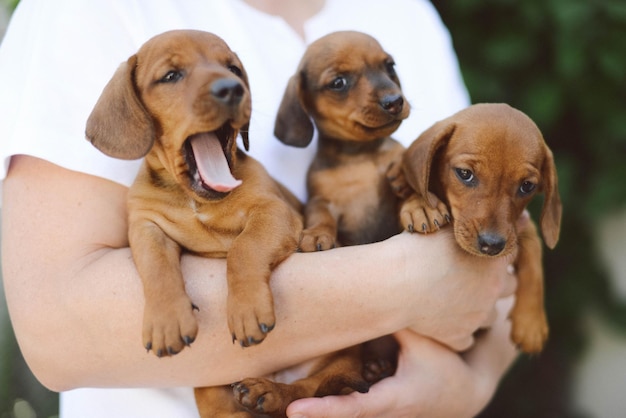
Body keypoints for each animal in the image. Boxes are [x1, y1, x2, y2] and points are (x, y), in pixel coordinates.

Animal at [84, 29, 302, 414]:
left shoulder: (275, 211)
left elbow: (244, 249)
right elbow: (156, 266)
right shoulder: (145, 226)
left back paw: (271, 392)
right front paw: (166, 319)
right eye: (171, 76)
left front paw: (246, 308)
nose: (232, 88)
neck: (195, 199)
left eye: (233, 69)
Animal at [276, 30, 408, 251]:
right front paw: (317, 232)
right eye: (338, 83)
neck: (359, 155)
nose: (395, 102)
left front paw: (420, 207)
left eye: (390, 66)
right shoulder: (320, 200)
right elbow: (321, 215)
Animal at [398, 103, 564, 352]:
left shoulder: (520, 229)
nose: (491, 245)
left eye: (527, 186)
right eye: (465, 174)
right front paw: (422, 205)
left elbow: (534, 261)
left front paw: (531, 322)